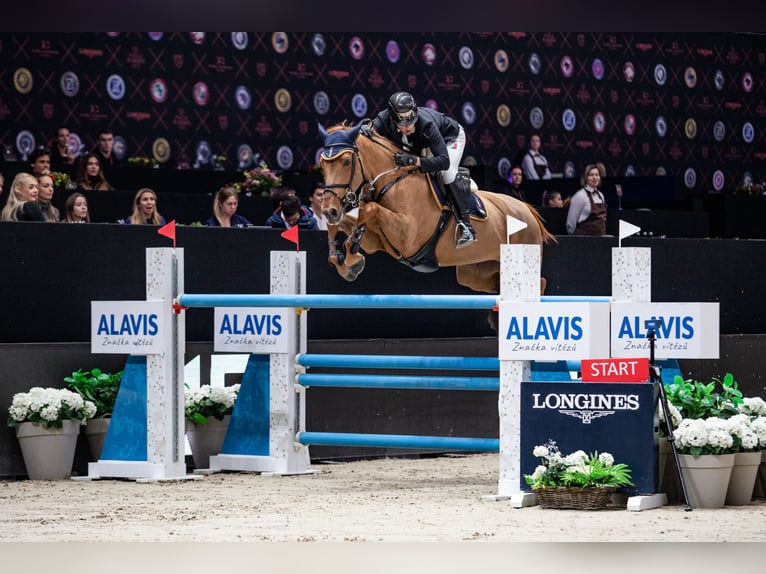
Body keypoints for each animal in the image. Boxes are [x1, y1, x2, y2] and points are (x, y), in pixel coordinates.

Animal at [320, 120, 560, 294]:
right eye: (323, 164)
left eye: (346, 162)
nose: (329, 210)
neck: (391, 180)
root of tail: (527, 210)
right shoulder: (377, 241)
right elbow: (353, 220)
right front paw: (345, 260)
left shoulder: (407, 236)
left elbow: (370, 210)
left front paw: (351, 254)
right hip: (476, 273)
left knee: (538, 283)